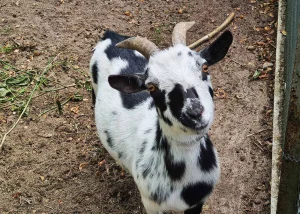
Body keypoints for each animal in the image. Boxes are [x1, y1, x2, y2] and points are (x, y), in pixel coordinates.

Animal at [89, 22, 232, 214]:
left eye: (205, 67)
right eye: (151, 87)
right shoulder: (151, 205)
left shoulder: (198, 203)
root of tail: (110, 35)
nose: (194, 112)